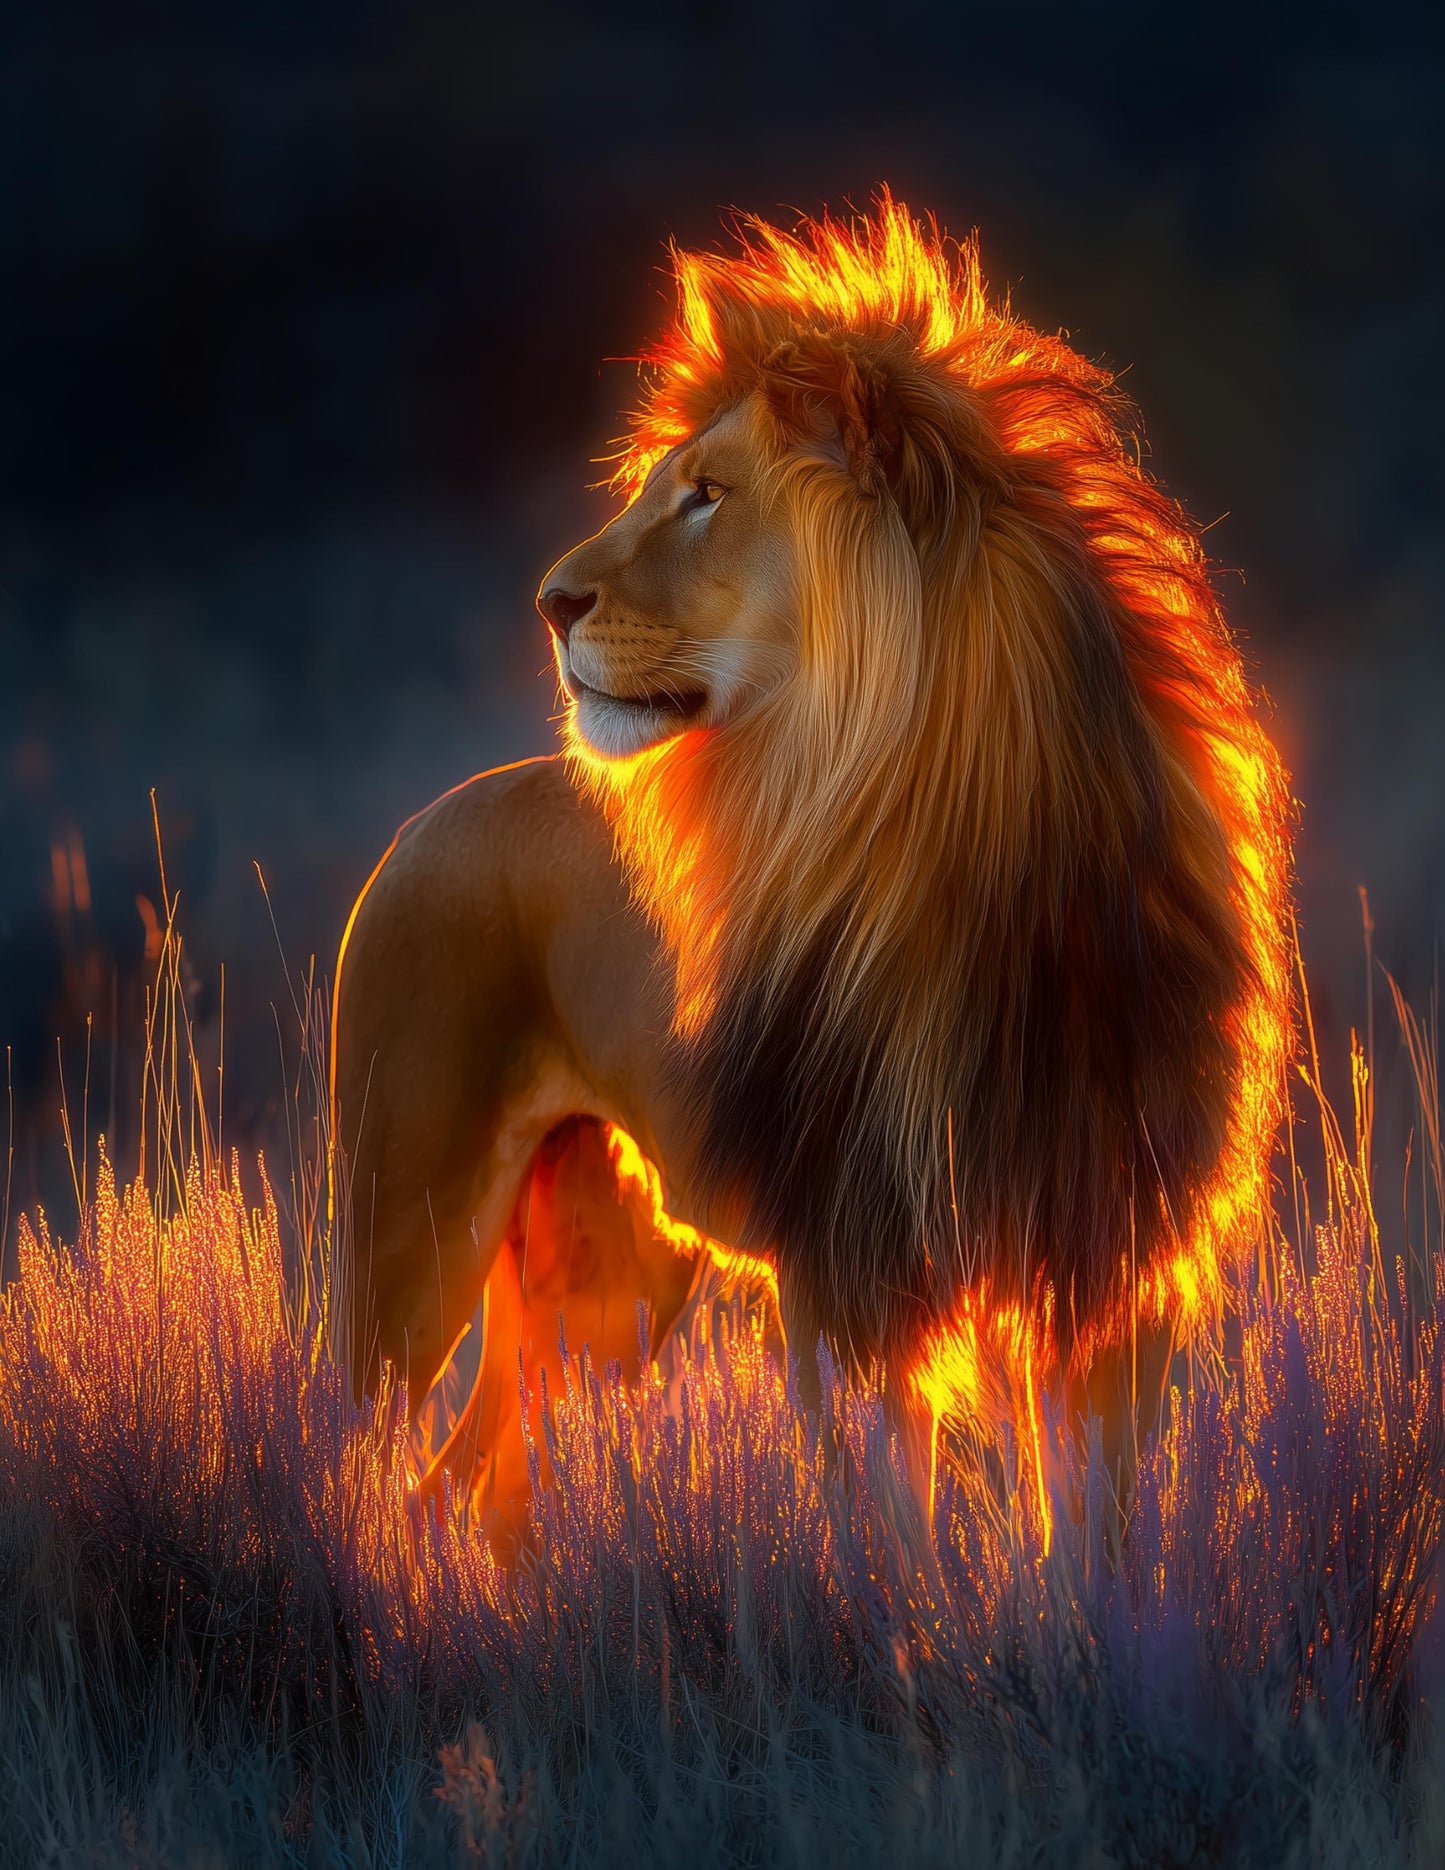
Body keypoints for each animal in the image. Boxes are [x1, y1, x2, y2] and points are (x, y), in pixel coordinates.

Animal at [331, 193, 1292, 1516]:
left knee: (473, 1496)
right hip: (407, 1235)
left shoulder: (1106, 1270)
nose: (548, 603)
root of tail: (426, 818)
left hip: (605, 1292)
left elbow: (1098, 1539)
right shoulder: (844, 1273)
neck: (968, 852)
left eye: (705, 493)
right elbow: (891, 1531)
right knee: (350, 1468)